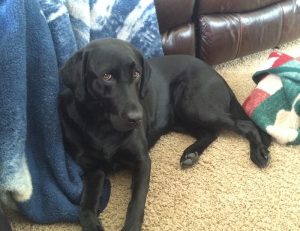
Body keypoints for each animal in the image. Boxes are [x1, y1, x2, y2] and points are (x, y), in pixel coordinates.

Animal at [58, 38, 270, 230]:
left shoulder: (142, 161)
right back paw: (191, 154)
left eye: (136, 74)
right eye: (106, 76)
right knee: (210, 132)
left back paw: (258, 152)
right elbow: (85, 210)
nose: (137, 118)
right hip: (180, 118)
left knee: (244, 125)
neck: (102, 125)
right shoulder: (93, 170)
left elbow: (135, 204)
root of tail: (215, 72)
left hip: (193, 106)